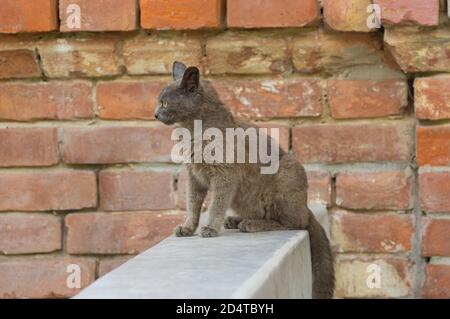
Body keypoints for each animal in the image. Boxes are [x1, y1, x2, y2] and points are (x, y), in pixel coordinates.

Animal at [155, 62, 334, 300]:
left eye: (164, 103)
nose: (155, 114)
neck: (193, 133)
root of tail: (306, 206)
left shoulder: (224, 175)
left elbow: (216, 205)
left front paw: (210, 228)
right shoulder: (194, 177)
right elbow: (193, 205)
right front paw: (188, 228)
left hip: (286, 178)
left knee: (294, 222)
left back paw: (250, 224)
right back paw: (236, 220)